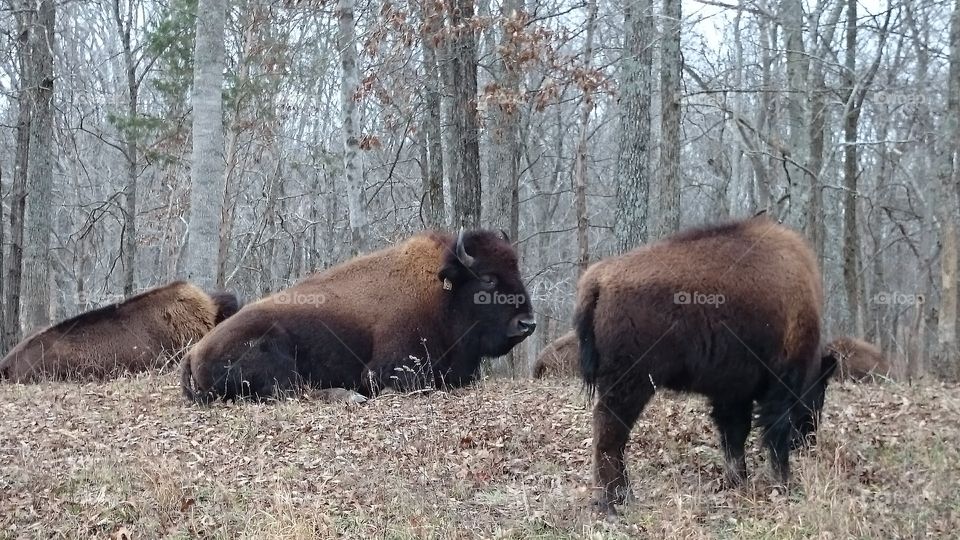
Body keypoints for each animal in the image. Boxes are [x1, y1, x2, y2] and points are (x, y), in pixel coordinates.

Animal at [182, 229, 536, 402]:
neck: (441, 292)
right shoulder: (388, 371)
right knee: (292, 391)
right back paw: (350, 396)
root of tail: (193, 352)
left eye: (516, 269)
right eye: (488, 279)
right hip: (273, 348)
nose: (527, 323)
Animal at [575, 216, 836, 512]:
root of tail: (599, 278)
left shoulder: (733, 392)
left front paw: (738, 480)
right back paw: (615, 499)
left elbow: (734, 435)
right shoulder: (780, 385)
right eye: (820, 393)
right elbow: (773, 433)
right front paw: (784, 483)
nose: (808, 439)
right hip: (631, 384)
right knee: (610, 433)